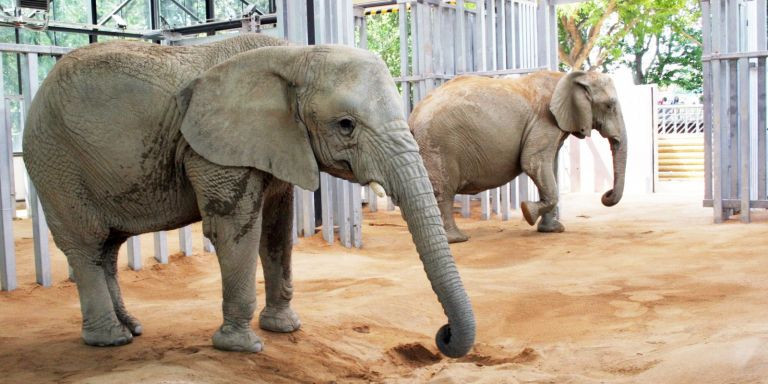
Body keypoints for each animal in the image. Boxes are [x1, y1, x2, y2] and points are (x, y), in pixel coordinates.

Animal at [22, 33, 474, 356]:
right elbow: (234, 228)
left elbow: (277, 228)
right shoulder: (213, 150)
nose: (443, 334)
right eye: (346, 125)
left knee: (109, 248)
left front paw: (284, 328)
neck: (295, 56)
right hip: (55, 161)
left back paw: (131, 328)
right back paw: (110, 339)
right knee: (86, 245)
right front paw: (242, 347)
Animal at [412, 71, 628, 243]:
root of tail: (414, 115)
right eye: (610, 105)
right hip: (439, 144)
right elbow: (533, 162)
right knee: (444, 191)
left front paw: (552, 230)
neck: (571, 77)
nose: (606, 194)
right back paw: (457, 239)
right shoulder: (545, 121)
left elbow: (549, 168)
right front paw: (527, 211)